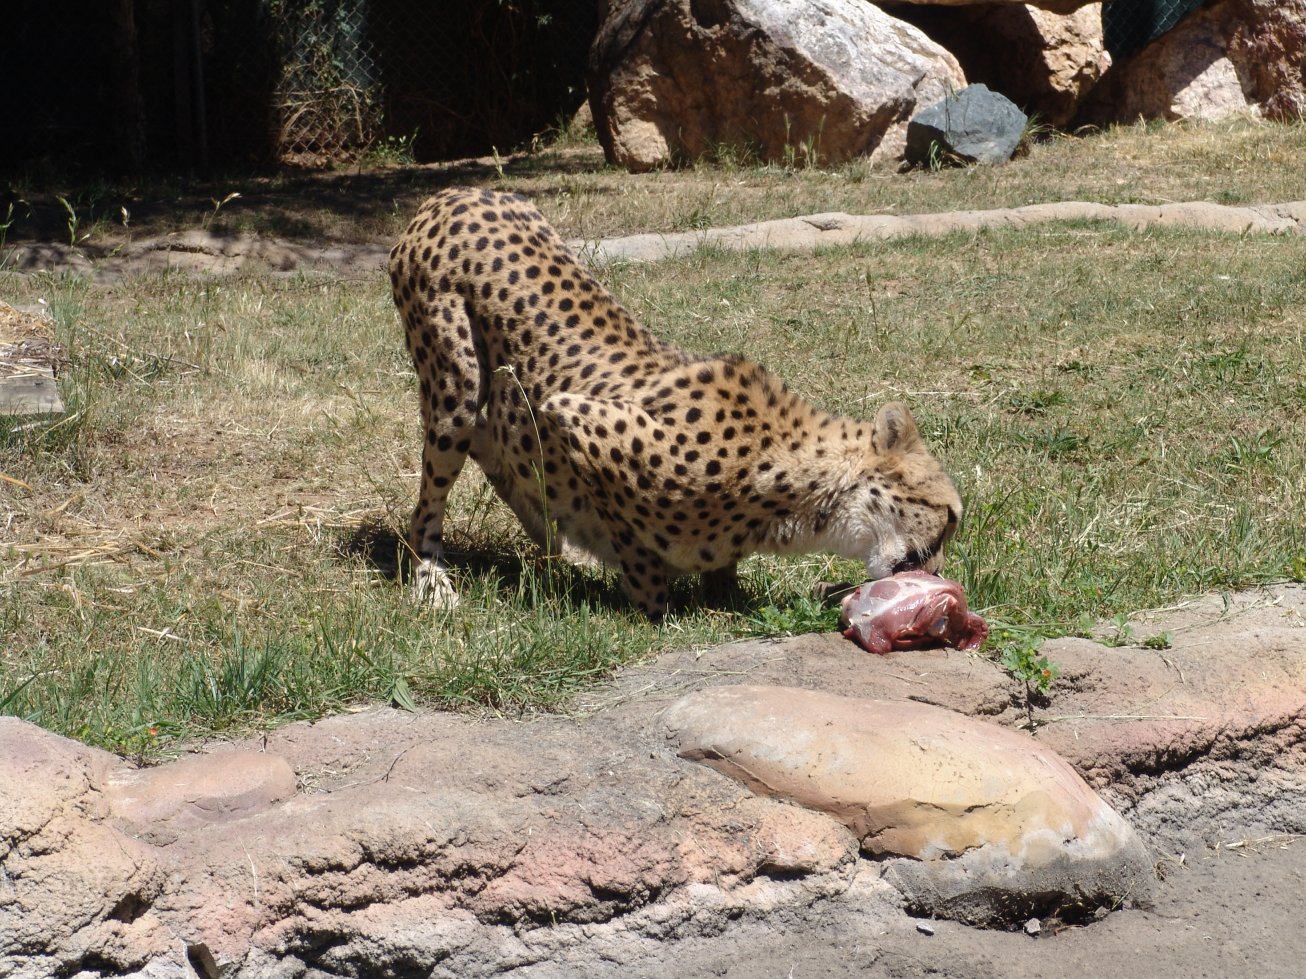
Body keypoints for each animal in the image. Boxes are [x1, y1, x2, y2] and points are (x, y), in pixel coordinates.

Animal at [388, 186, 962, 622]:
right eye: (951, 516)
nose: (937, 573)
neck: (795, 486)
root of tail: (455, 192)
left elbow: (720, 581)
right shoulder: (575, 418)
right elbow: (638, 552)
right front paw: (651, 602)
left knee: (495, 444)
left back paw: (555, 550)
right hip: (455, 387)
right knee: (431, 500)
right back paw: (434, 581)